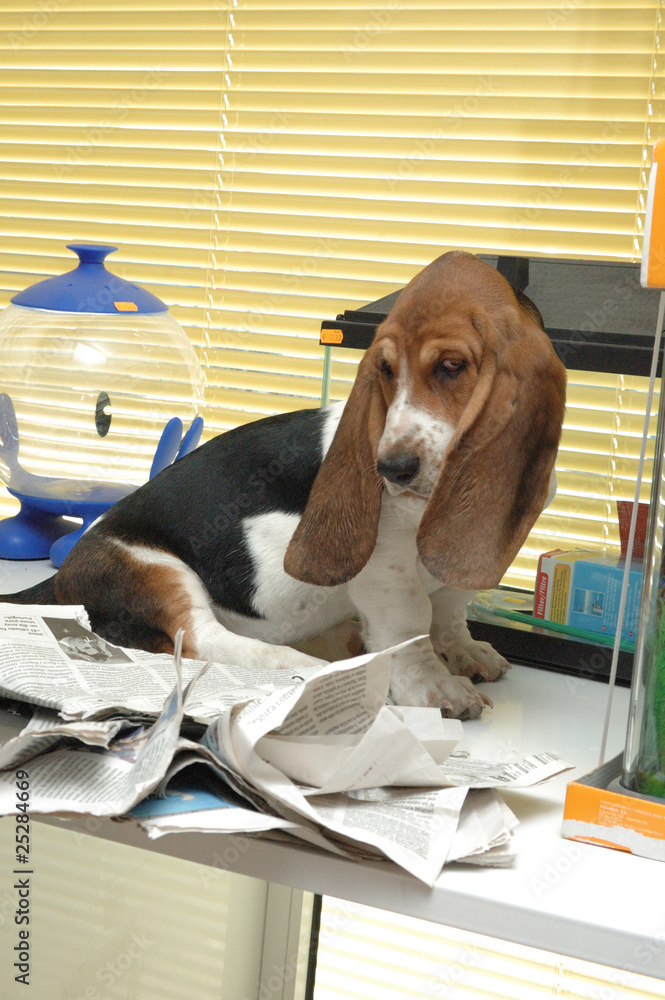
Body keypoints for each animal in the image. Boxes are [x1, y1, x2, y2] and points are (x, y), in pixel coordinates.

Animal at [5, 250, 564, 720]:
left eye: (451, 367)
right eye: (384, 370)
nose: (390, 468)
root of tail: (65, 572)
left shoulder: (449, 563)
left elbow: (448, 608)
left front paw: (464, 652)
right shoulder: (386, 572)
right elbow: (410, 627)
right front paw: (435, 687)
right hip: (155, 569)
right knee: (205, 640)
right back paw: (310, 666)